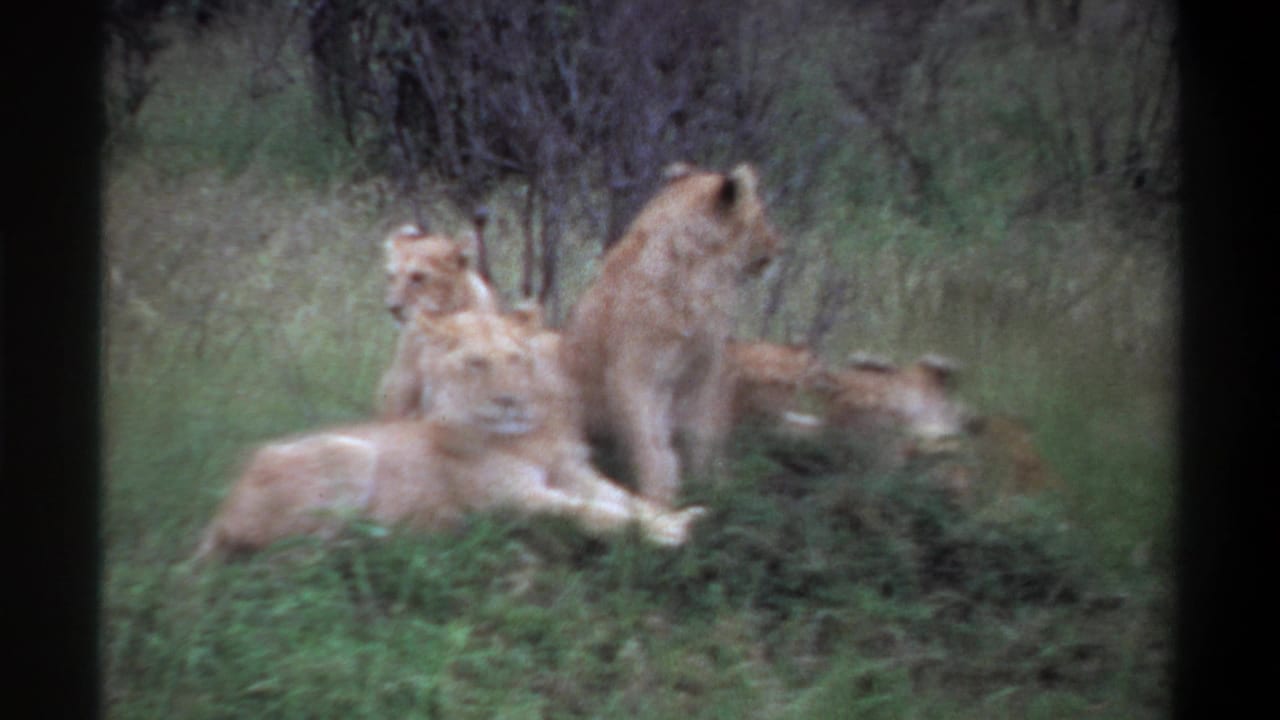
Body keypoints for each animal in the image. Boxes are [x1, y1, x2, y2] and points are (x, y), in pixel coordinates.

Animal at [195, 311, 706, 561]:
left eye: (516, 358)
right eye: (476, 363)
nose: (509, 400)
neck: (527, 436)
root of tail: (219, 515)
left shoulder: (574, 473)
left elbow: (626, 499)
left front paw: (677, 516)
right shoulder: (512, 501)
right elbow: (591, 512)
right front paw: (666, 533)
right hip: (348, 452)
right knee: (290, 556)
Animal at [560, 162, 782, 506]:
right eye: (761, 213)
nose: (778, 244)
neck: (700, 275)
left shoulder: (705, 368)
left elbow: (702, 433)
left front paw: (712, 487)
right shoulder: (633, 372)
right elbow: (650, 442)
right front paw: (660, 499)